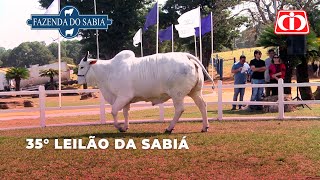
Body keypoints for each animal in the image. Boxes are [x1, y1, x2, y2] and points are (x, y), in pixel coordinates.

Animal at [77, 50, 215, 132]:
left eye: (82, 67)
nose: (78, 81)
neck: (109, 71)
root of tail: (186, 56)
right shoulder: (125, 100)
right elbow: (126, 113)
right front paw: (125, 126)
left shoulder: (123, 97)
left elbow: (114, 111)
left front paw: (119, 127)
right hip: (195, 92)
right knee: (202, 105)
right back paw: (205, 126)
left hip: (177, 94)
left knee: (179, 109)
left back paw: (169, 128)